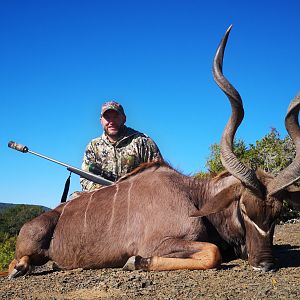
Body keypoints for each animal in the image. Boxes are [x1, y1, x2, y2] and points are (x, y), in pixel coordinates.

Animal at [7, 26, 300, 278]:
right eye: (245, 209)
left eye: (277, 213)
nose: (265, 264)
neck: (195, 198)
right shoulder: (160, 243)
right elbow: (213, 253)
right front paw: (134, 262)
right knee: (16, 262)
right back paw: (19, 269)